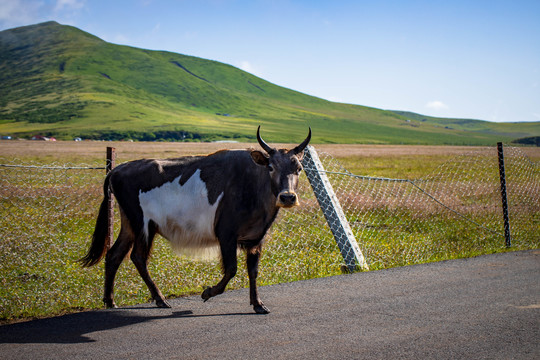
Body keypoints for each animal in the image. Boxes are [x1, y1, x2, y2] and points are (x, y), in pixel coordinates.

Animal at [78, 126, 310, 312]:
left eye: (298, 168)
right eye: (271, 167)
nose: (287, 197)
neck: (253, 184)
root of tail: (117, 169)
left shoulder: (256, 238)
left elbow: (253, 271)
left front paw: (258, 304)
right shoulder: (226, 234)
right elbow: (231, 269)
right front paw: (207, 292)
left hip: (129, 224)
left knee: (114, 255)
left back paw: (110, 301)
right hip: (143, 224)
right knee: (138, 257)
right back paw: (160, 299)